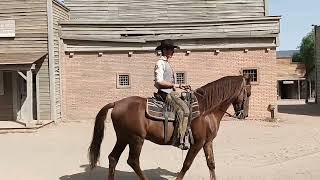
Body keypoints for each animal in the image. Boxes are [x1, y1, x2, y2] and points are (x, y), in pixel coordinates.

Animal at [89, 75, 251, 179]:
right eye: (248, 93)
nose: (244, 115)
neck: (206, 111)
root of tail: (117, 103)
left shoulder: (207, 142)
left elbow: (211, 164)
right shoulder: (197, 143)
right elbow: (186, 164)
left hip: (123, 138)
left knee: (113, 158)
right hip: (136, 139)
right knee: (133, 161)